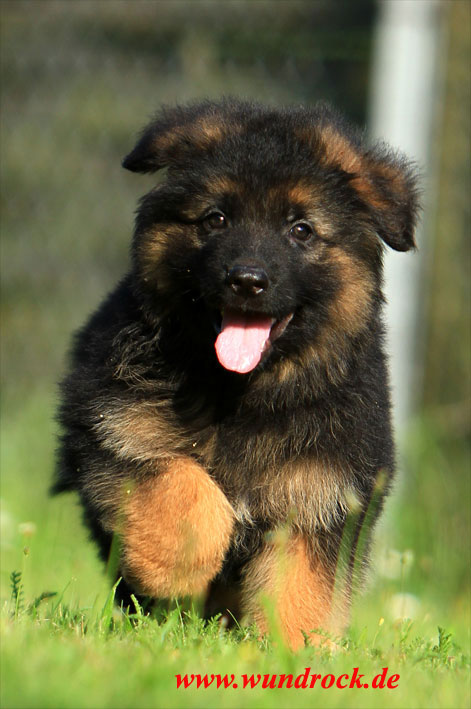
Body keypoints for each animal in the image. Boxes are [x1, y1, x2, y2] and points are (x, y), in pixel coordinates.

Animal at [53, 99, 419, 649]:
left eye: (301, 229)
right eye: (216, 219)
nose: (247, 280)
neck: (243, 392)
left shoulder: (322, 498)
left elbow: (303, 587)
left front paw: (294, 652)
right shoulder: (114, 428)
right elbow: (183, 485)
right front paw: (176, 568)